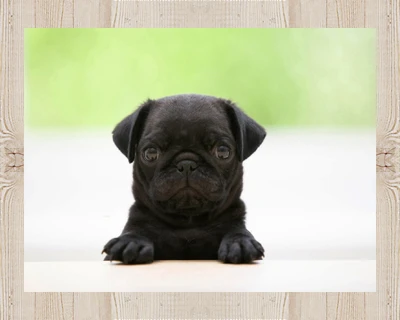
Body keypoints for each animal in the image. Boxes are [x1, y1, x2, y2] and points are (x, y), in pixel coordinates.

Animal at [101, 94, 268, 264]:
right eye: (151, 153)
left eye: (222, 151)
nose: (186, 164)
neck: (188, 221)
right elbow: (136, 230)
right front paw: (131, 242)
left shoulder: (232, 223)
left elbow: (236, 231)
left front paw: (240, 242)